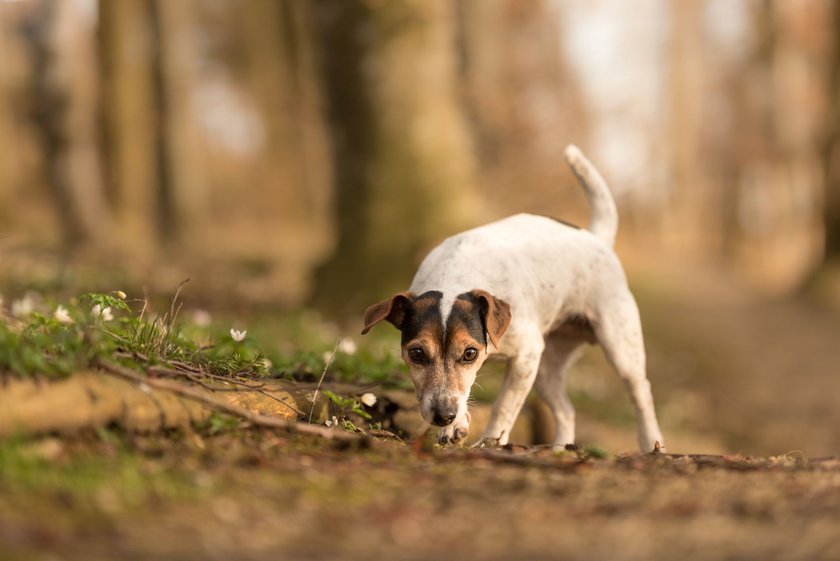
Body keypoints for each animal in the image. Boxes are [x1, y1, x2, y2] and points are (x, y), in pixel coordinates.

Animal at [360, 144, 664, 450]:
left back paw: (651, 443)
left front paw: (490, 441)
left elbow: (504, 406)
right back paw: (559, 451)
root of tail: (597, 238)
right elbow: (466, 394)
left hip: (619, 349)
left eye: (470, 353)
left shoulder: (525, 357)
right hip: (545, 368)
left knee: (642, 393)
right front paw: (457, 426)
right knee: (567, 411)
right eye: (417, 353)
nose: (444, 415)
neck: (456, 274)